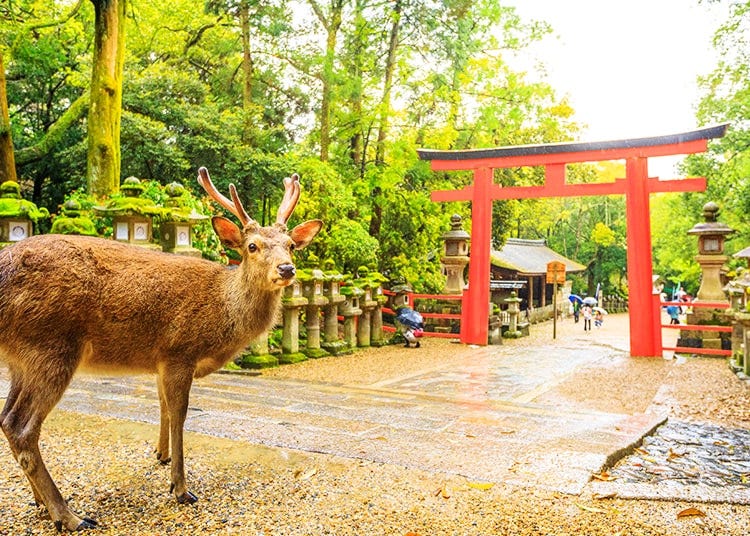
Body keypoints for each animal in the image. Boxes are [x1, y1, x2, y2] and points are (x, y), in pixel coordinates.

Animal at [0, 169, 320, 532]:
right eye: (252, 246)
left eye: (291, 246)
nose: (286, 269)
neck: (221, 313)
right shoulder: (179, 350)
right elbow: (180, 413)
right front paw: (180, 488)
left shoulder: (159, 359)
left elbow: (163, 405)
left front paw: (161, 455)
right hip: (51, 345)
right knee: (22, 427)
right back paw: (70, 516)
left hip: (22, 359)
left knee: (7, 419)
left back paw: (41, 502)